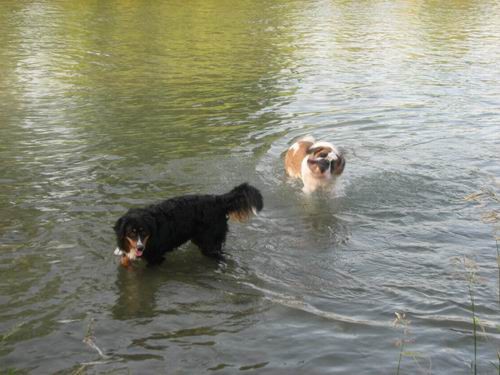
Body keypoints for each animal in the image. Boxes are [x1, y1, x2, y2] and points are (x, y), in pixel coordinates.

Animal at [112, 184, 262, 266]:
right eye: (131, 232)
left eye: (144, 232)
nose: (140, 247)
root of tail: (218, 200)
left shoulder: (156, 257)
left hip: (210, 243)